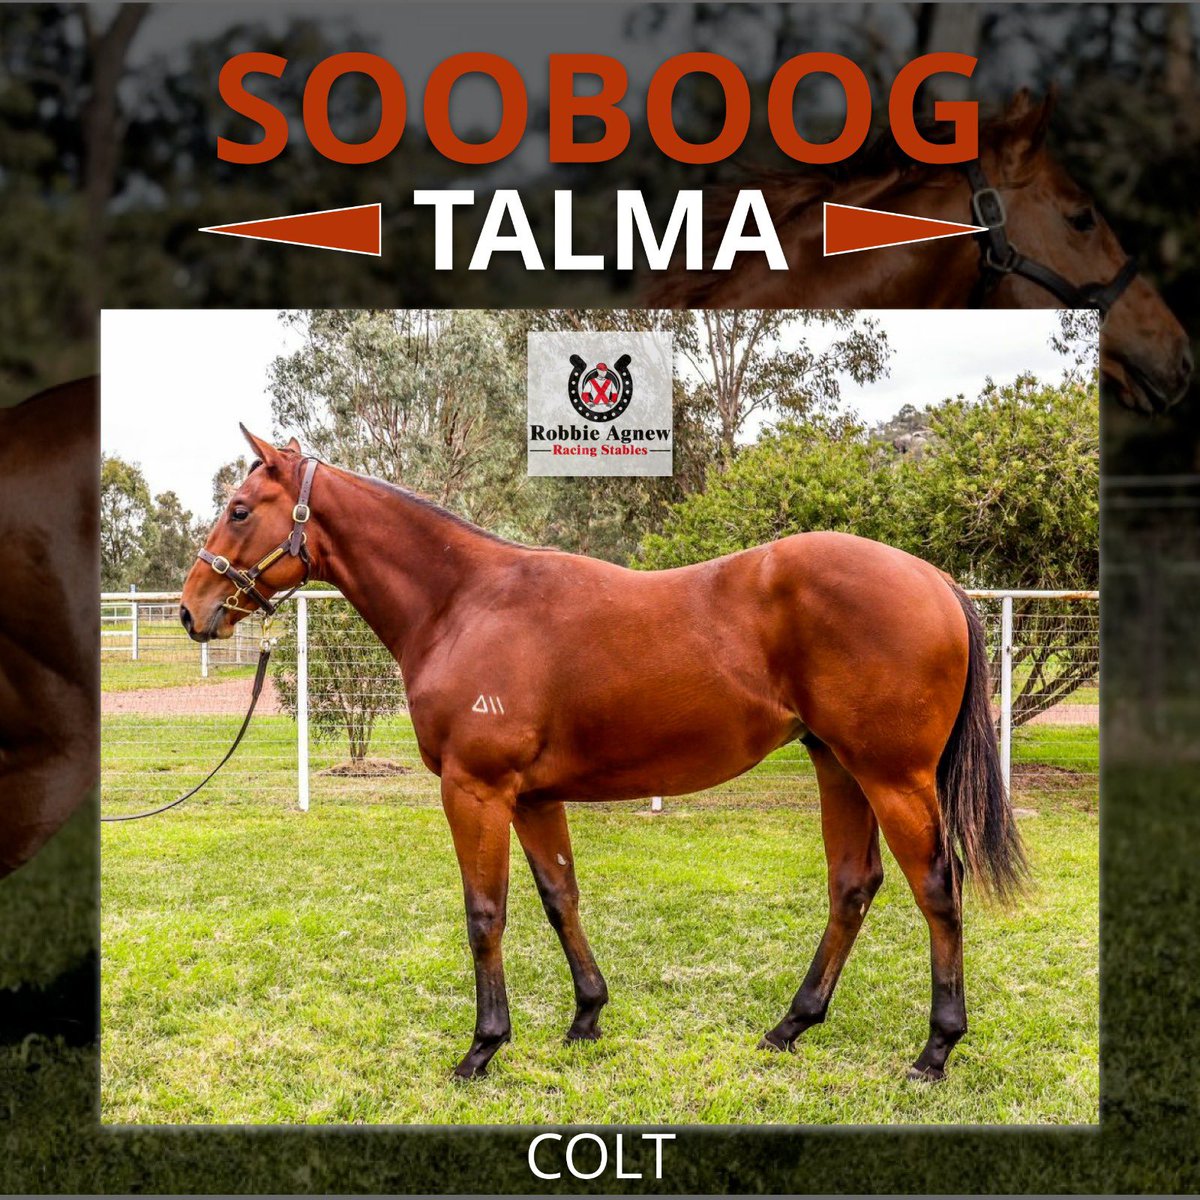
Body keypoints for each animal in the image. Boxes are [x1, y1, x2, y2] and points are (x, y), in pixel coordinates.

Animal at [180, 428, 1026, 1084]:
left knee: (937, 888)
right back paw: (792, 1025)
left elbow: (485, 913)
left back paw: (935, 1048)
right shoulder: (531, 796)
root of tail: (933, 579)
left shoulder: (476, 789)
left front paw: (483, 1048)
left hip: (892, 776)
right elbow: (560, 897)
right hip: (837, 765)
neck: (465, 602)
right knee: (853, 885)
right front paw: (587, 1014)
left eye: (239, 509)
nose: (192, 609)